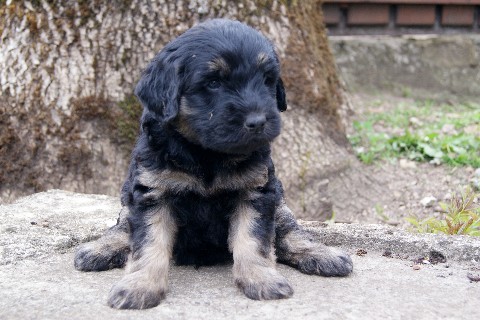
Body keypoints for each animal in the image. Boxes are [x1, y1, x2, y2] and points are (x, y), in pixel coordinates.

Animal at [74, 19, 352, 310]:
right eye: (214, 82)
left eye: (267, 80)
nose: (258, 122)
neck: (207, 155)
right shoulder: (152, 192)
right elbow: (148, 242)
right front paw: (140, 285)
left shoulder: (256, 191)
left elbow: (254, 239)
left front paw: (260, 278)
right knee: (121, 226)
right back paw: (99, 249)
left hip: (280, 203)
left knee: (289, 233)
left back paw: (323, 255)